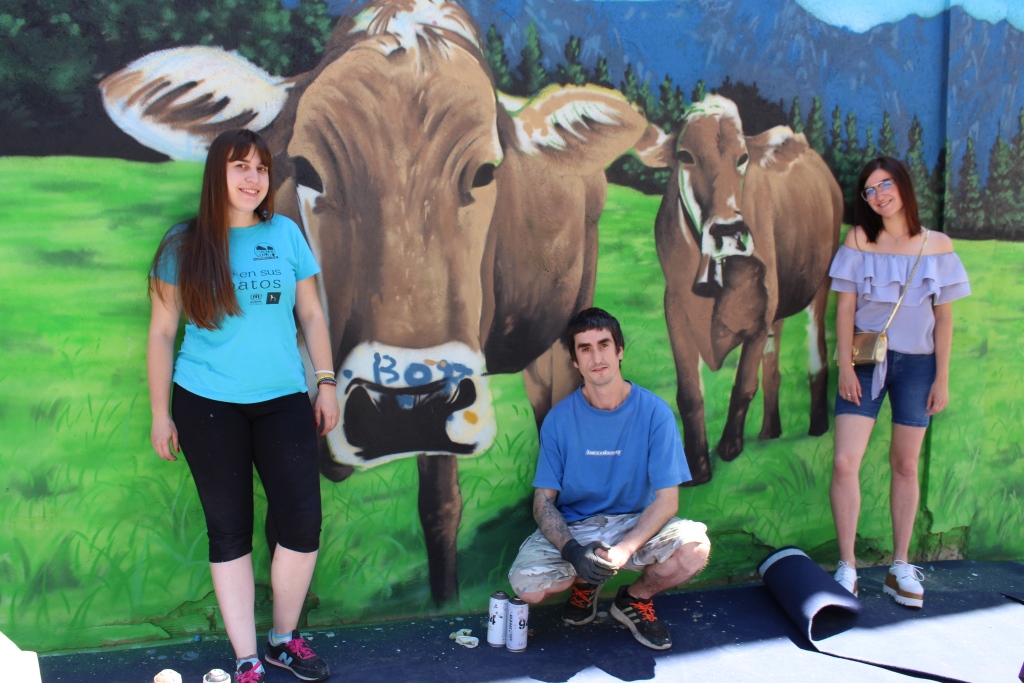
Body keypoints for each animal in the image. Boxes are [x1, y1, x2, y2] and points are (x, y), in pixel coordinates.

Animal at [99, 1, 643, 602]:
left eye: (485, 172)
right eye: (305, 169)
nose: (403, 406)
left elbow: (439, 507)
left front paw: (445, 601)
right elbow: (283, 526)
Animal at [638, 96, 839, 485]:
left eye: (743, 157)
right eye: (685, 155)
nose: (729, 230)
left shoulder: (760, 318)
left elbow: (744, 384)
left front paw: (730, 448)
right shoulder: (675, 310)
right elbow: (690, 394)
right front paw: (696, 467)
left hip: (821, 283)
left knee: (817, 358)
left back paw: (818, 427)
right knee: (773, 369)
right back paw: (769, 431)